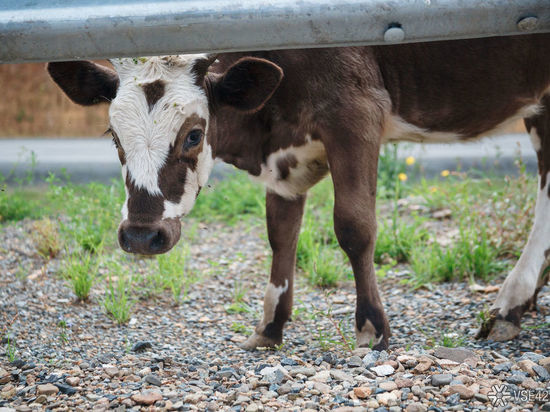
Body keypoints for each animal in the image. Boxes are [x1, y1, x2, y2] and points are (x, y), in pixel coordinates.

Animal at [48, 34, 550, 350]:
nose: (140, 235)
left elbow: (354, 226)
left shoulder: (356, 111)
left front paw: (372, 327)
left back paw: (509, 302)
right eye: (113, 135)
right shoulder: (285, 163)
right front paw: (270, 326)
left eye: (193, 135)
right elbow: (281, 235)